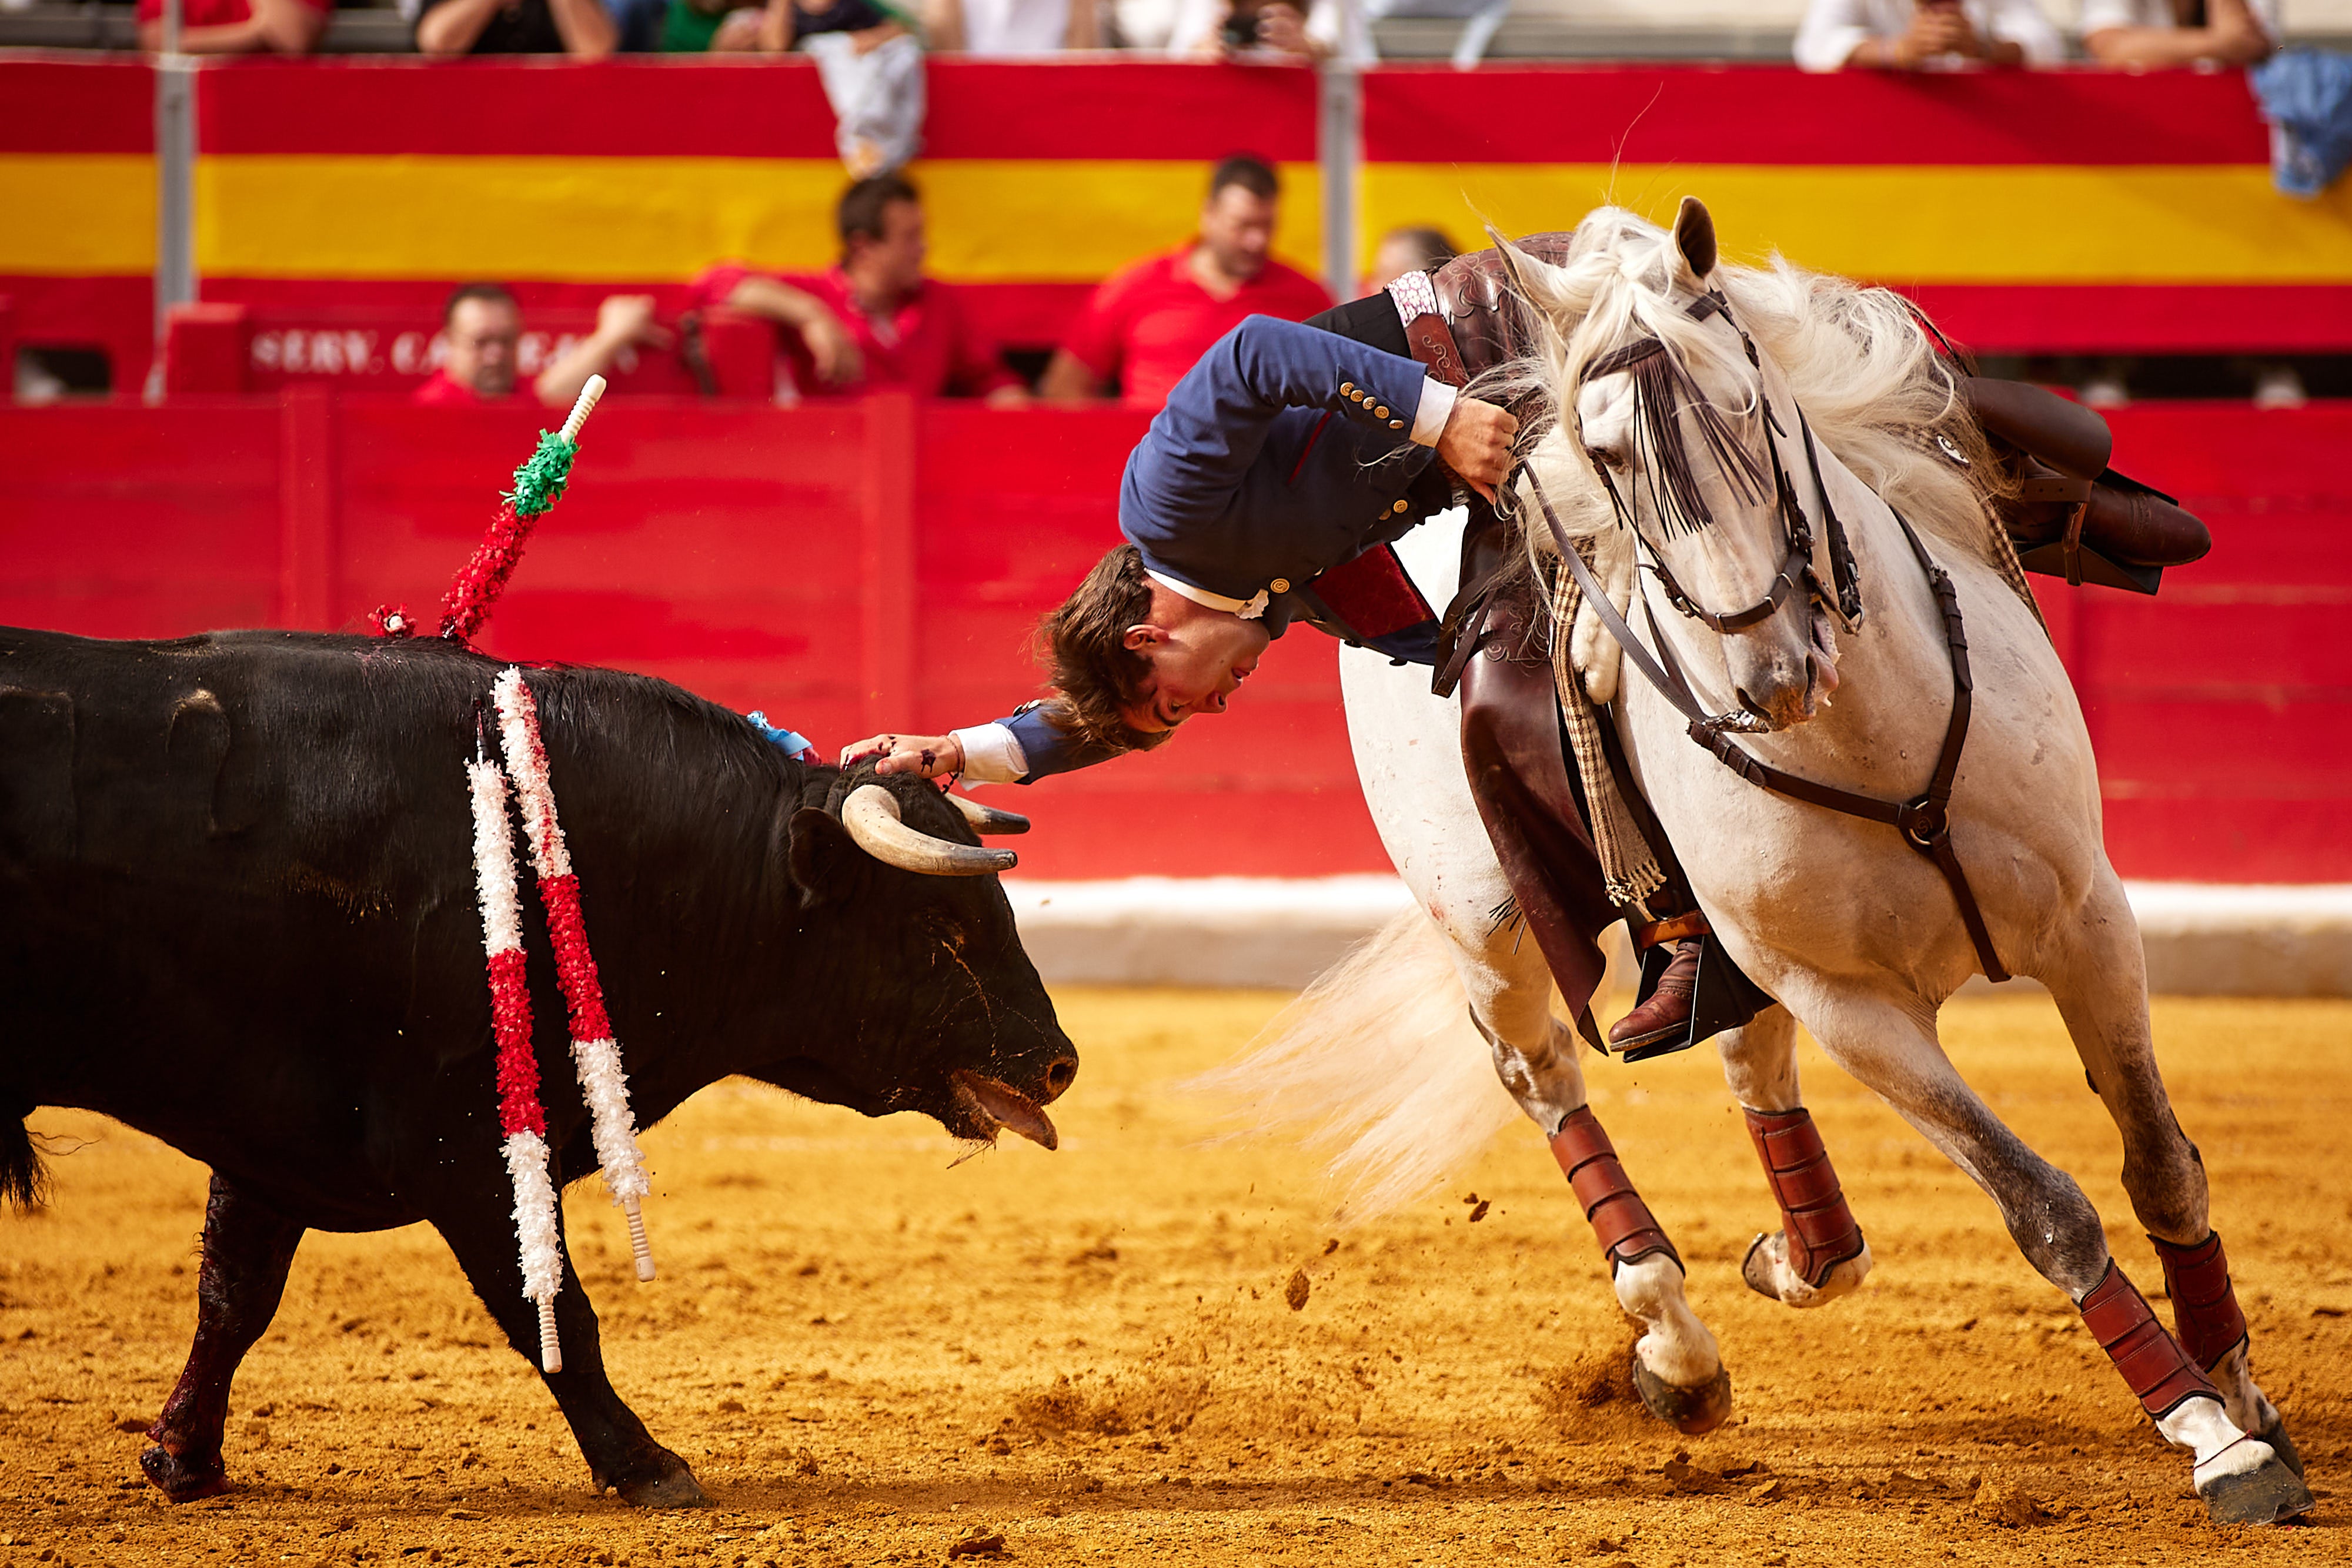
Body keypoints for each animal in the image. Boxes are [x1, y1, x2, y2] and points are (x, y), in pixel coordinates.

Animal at [0, 625, 1077, 1505]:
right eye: (938, 928)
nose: (1060, 1063)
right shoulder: (464, 1143)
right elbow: (549, 1304)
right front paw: (648, 1464)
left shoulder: (270, 1129)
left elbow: (234, 1292)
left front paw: (183, 1455)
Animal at [1232, 199, 2314, 1533]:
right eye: (1607, 458)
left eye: (1747, 403)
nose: (1768, 671)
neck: (1874, 742)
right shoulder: (1851, 1004)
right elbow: (2044, 1205)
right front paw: (2209, 1434)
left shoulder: (2088, 921)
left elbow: (2162, 1163)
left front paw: (2242, 1391)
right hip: (1484, 922)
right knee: (1542, 1074)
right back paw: (1673, 1342)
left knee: (1748, 1060)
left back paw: (1800, 1255)